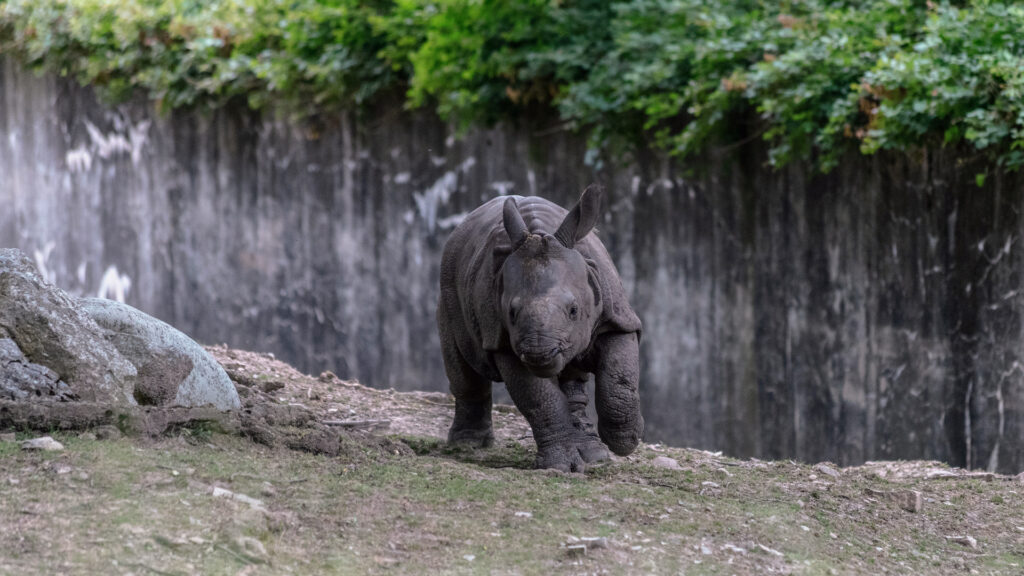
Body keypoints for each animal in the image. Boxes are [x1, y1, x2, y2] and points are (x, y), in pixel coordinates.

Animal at [437, 185, 643, 472]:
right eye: (511, 313)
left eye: (574, 310)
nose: (540, 354)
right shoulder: (504, 343)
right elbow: (540, 399)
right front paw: (560, 467)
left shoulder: (617, 319)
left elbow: (619, 378)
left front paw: (625, 441)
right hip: (448, 289)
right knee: (463, 366)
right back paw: (468, 445)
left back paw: (594, 455)